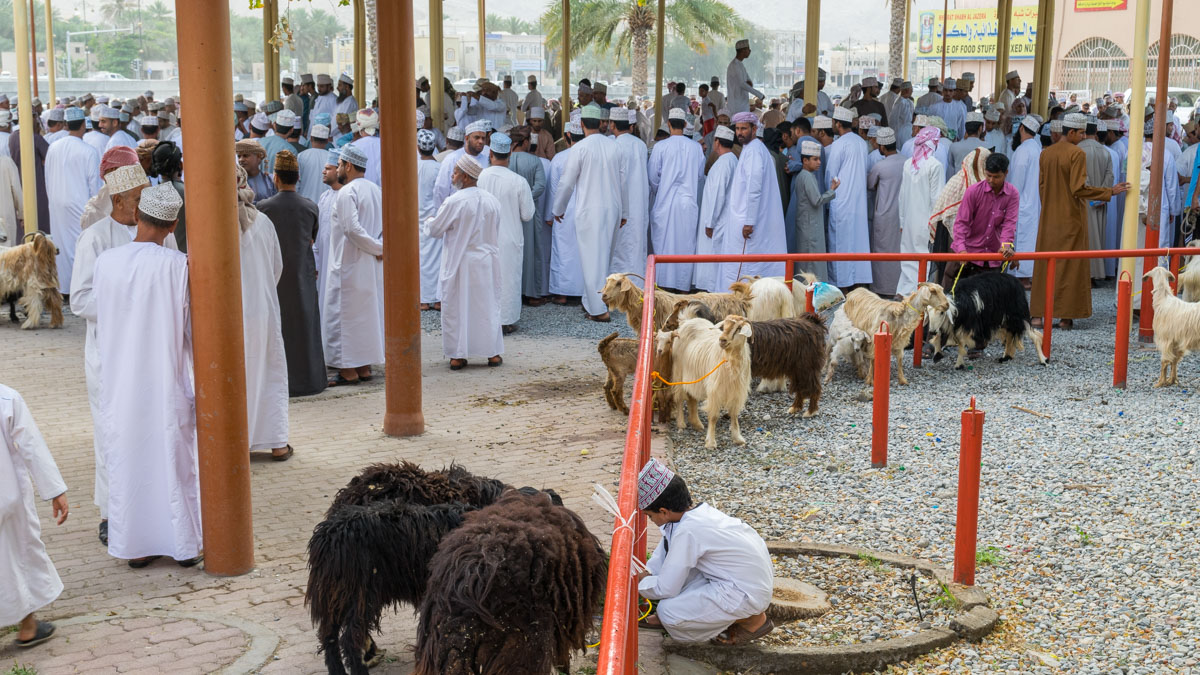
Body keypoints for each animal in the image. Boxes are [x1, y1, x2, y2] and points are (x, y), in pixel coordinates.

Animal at [657, 314, 748, 446]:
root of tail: (687, 321)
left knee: (692, 398)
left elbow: (734, 414)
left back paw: (696, 423)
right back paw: (681, 423)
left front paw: (738, 438)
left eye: (739, 328)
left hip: (693, 377)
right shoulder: (714, 390)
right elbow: (714, 416)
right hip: (679, 373)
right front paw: (710, 442)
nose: (722, 340)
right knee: (679, 398)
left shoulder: (737, 391)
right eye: (724, 326)